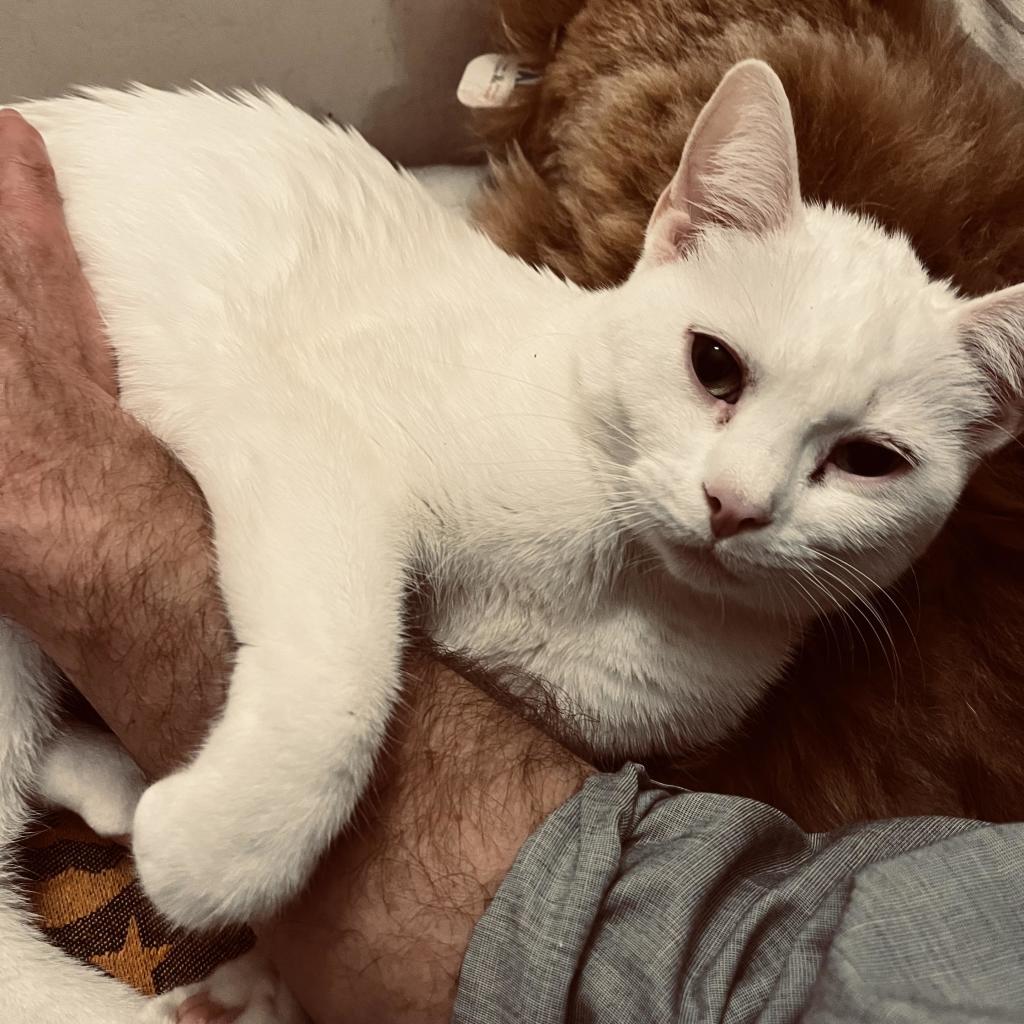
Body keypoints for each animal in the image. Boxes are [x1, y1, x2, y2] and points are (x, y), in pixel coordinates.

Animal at [2, 59, 1024, 1019]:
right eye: (714, 364)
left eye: (869, 459)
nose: (735, 504)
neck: (618, 580)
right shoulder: (292, 433)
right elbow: (348, 665)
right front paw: (230, 848)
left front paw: (260, 984)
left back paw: (116, 786)